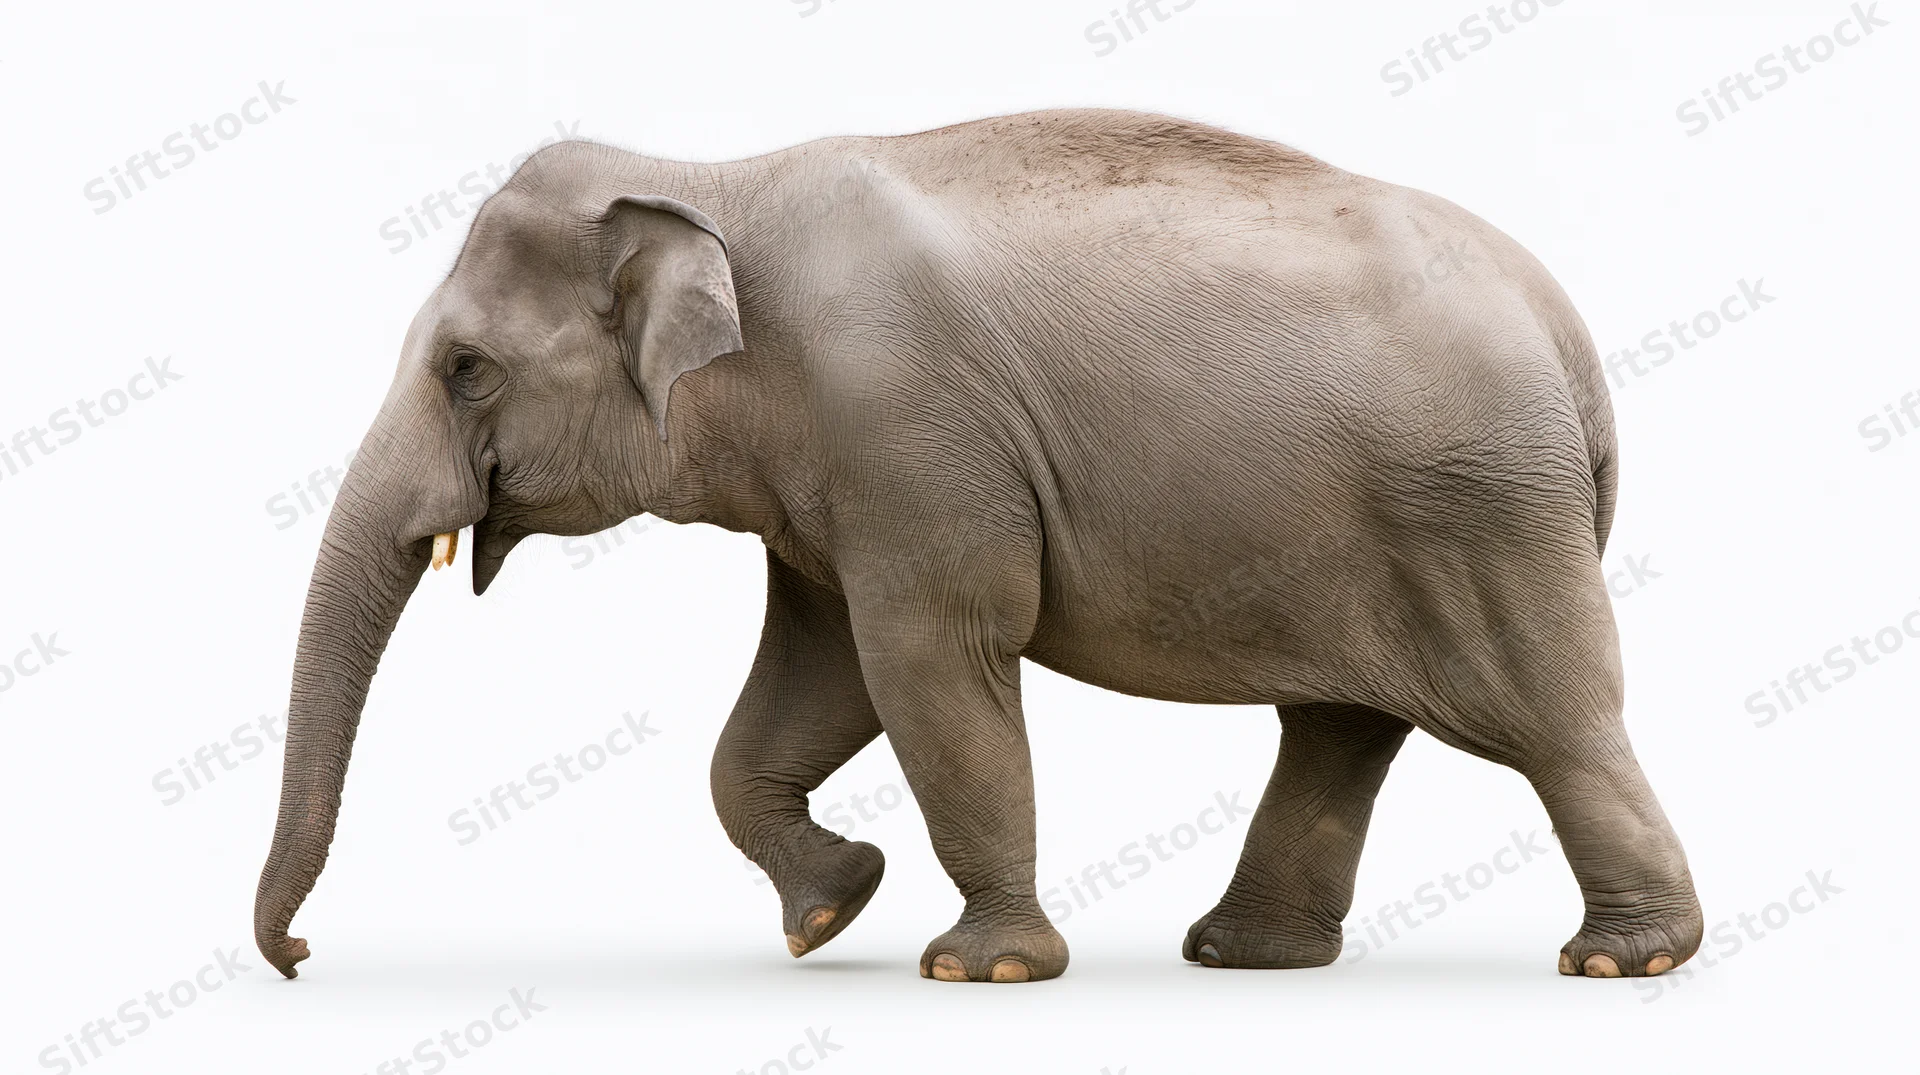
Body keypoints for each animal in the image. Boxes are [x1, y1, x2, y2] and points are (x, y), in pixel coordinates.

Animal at [255, 108, 1703, 984]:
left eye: (466, 369)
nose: (302, 956)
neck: (712, 180)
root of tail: (1573, 342)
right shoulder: (834, 478)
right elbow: (816, 680)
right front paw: (835, 904)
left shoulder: (908, 428)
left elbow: (931, 662)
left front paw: (979, 965)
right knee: (1340, 725)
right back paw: (1244, 954)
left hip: (1480, 511)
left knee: (1554, 720)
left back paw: (1623, 960)